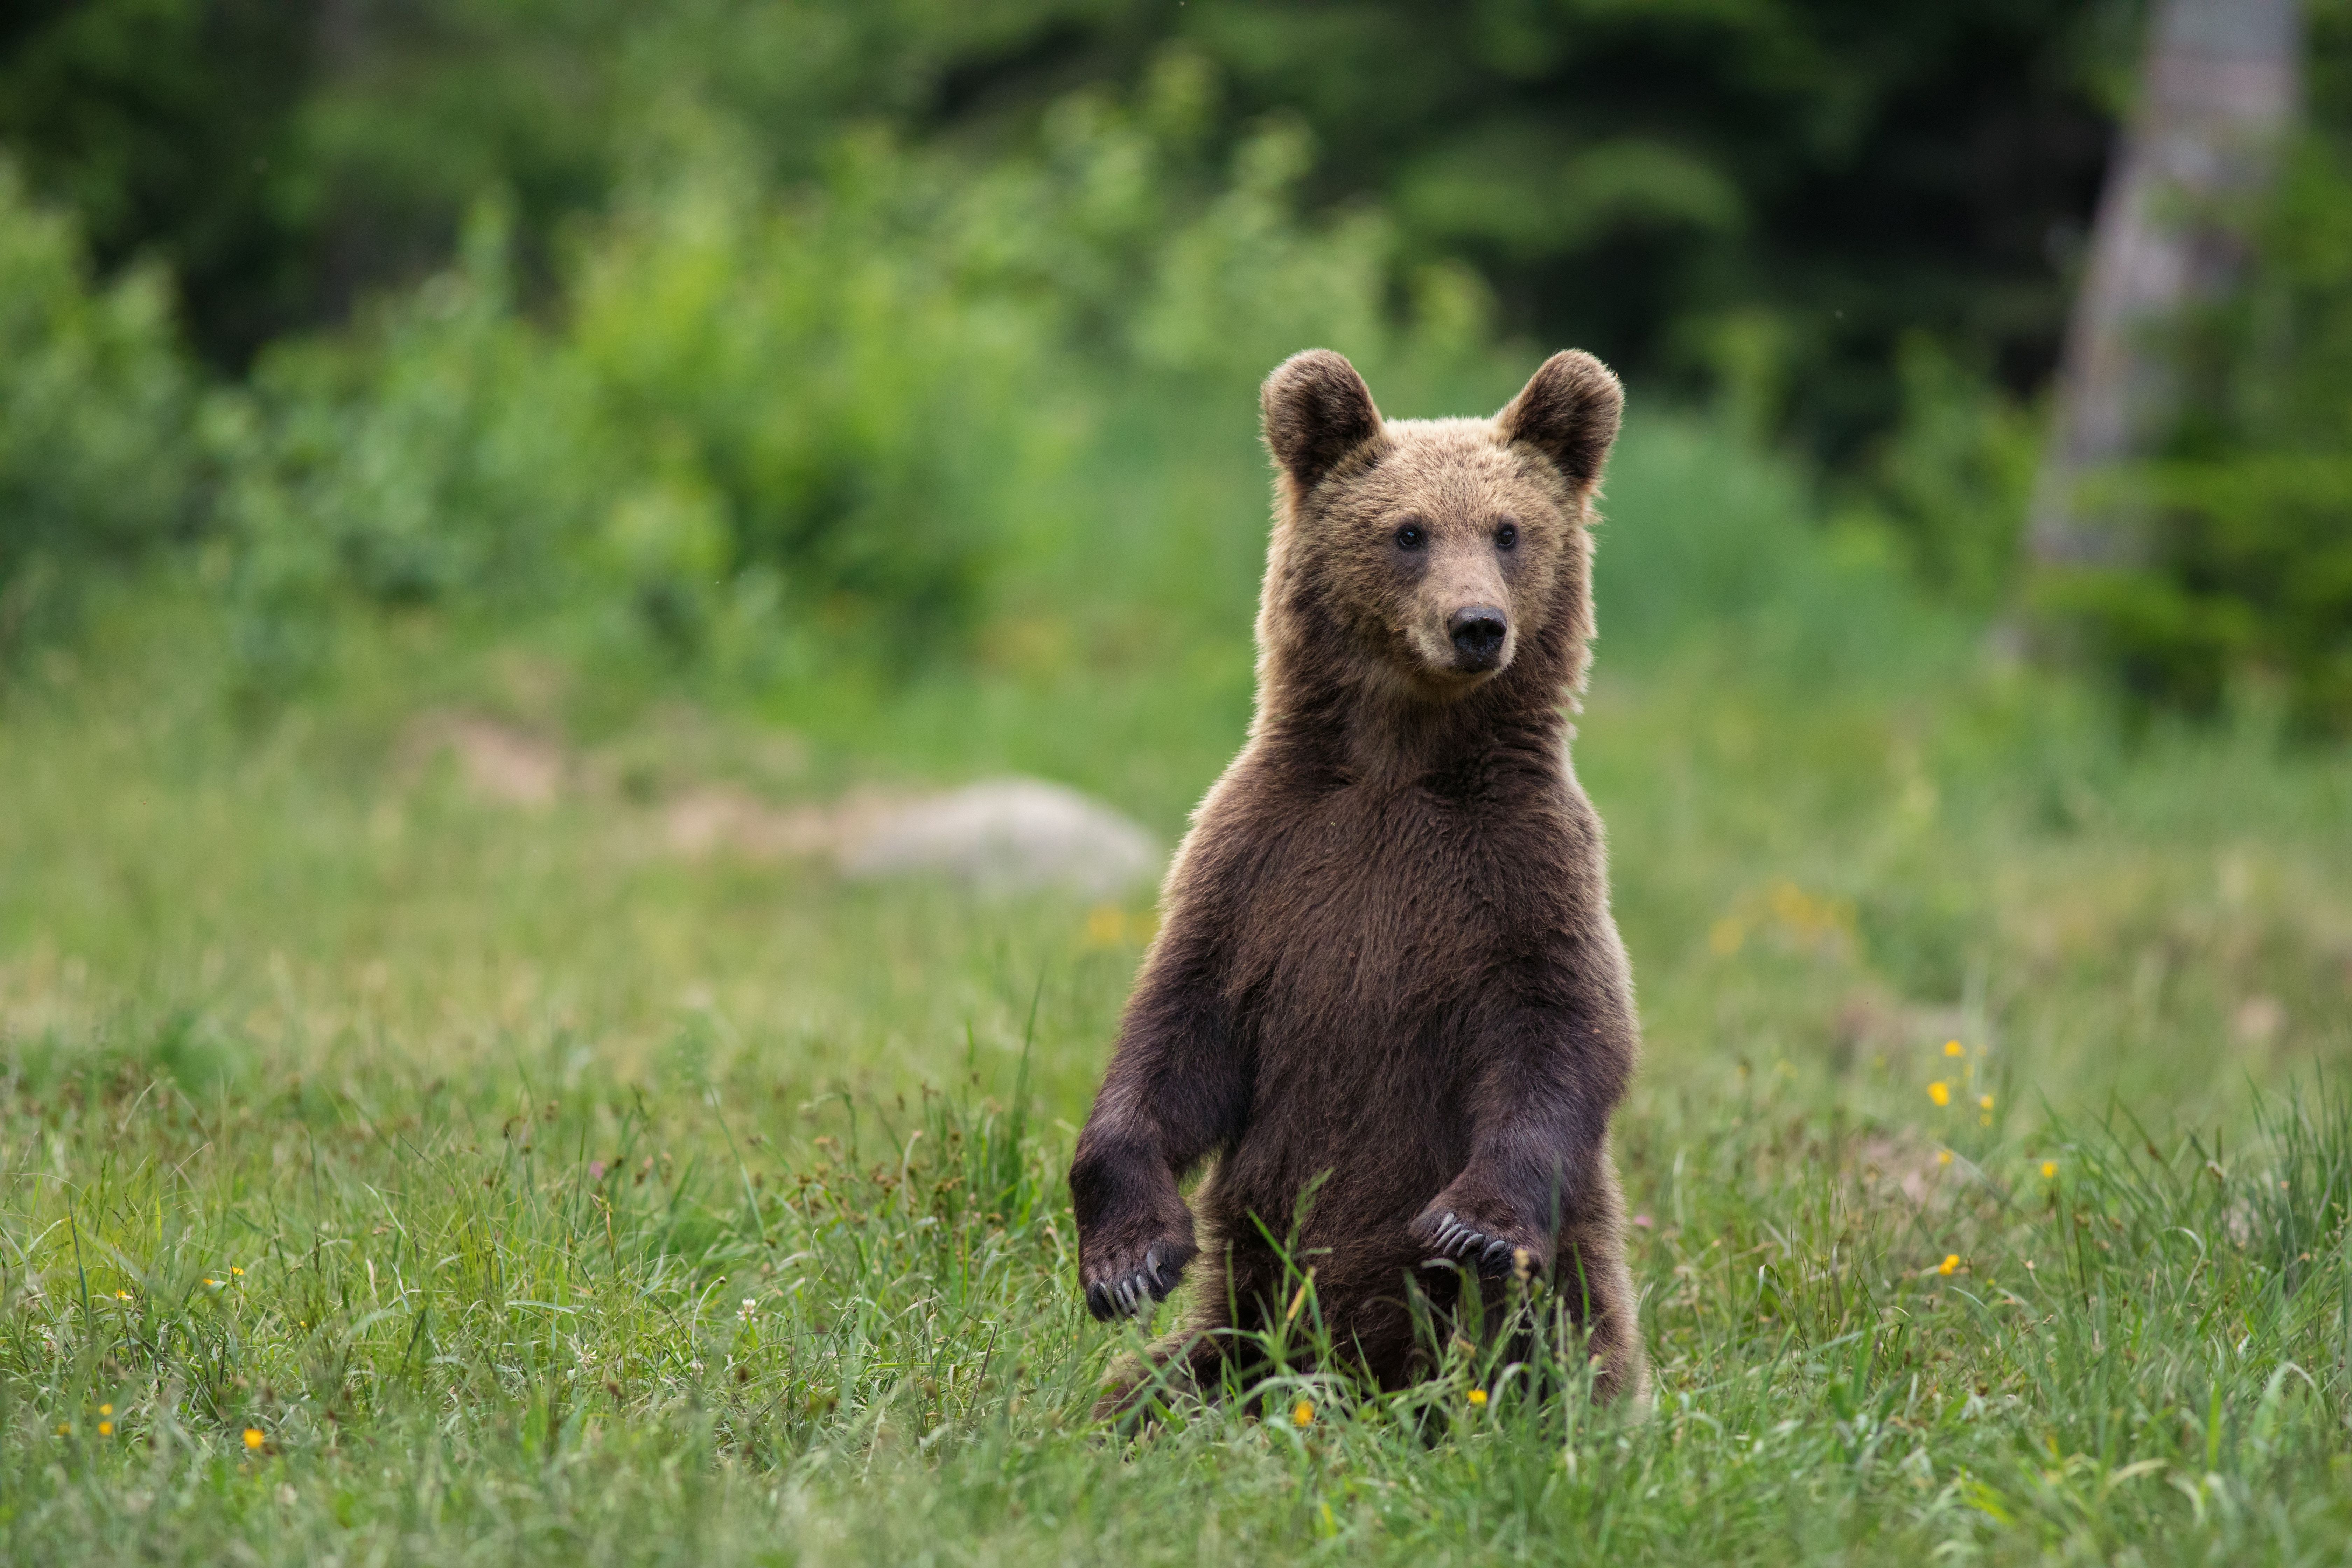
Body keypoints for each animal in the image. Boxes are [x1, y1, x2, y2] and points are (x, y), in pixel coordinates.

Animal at [1072, 350, 1646, 1420]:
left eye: (1510, 530)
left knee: (1534, 1358)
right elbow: (1176, 1035)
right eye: (1408, 531)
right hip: (1245, 1324)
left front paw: (1473, 1223)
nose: (1477, 626)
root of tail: (1343, 1380)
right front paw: (1130, 1259)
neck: (1401, 761)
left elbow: (1561, 1037)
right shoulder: (1262, 866)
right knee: (1155, 1389)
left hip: (1556, 1312)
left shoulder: (1526, 875)